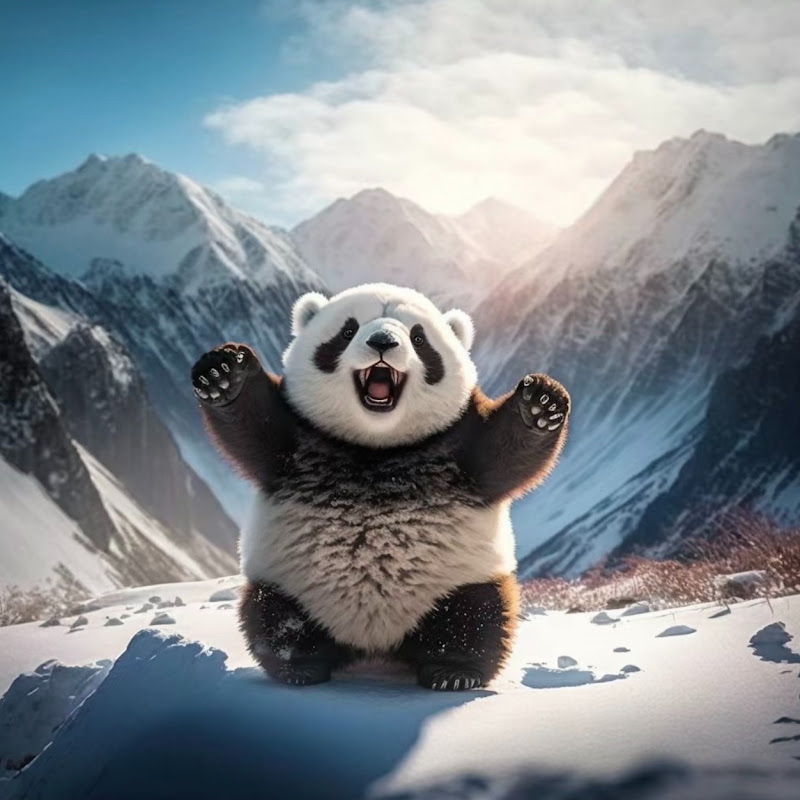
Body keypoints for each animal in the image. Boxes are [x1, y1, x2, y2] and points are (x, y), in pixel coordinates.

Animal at [191, 283, 569, 691]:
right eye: (347, 330)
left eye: (419, 337)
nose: (383, 342)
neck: (377, 445)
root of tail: (375, 645)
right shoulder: (299, 437)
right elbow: (254, 427)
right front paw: (224, 373)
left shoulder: (457, 442)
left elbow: (503, 454)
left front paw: (541, 402)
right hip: (292, 585)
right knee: (273, 617)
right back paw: (299, 667)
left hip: (458, 583)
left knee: (477, 618)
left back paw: (453, 671)